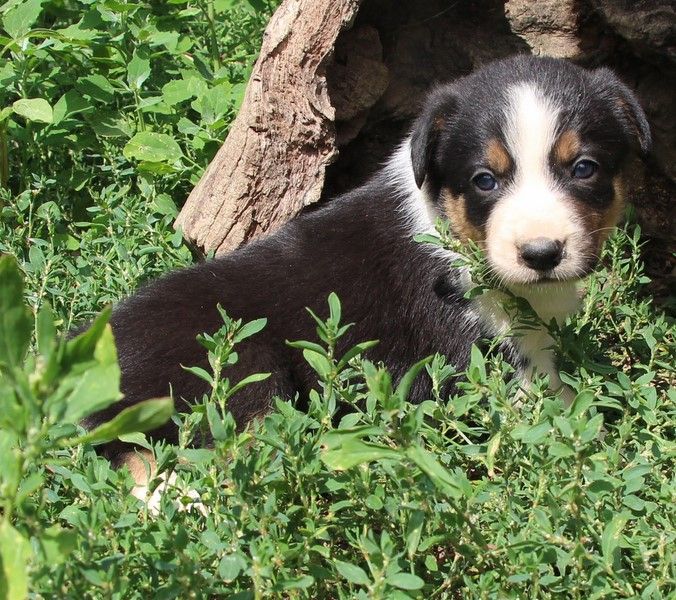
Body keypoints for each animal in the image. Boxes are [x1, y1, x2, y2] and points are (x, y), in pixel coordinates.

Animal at [84, 57, 648, 478]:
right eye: (484, 180)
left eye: (584, 169)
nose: (541, 253)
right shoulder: (495, 360)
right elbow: (563, 412)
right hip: (239, 372)